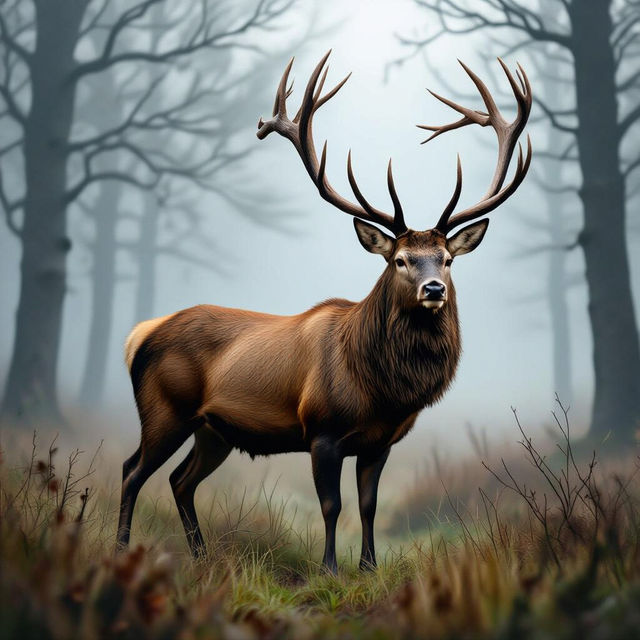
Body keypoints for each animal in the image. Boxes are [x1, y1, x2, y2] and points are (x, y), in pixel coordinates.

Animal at [116, 51, 531, 573]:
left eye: (447, 259)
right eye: (400, 260)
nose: (434, 288)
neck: (383, 389)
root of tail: (140, 334)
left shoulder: (379, 442)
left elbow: (369, 505)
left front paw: (369, 567)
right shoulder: (322, 429)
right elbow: (331, 505)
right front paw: (329, 567)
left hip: (214, 431)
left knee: (180, 480)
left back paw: (202, 557)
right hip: (164, 409)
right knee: (133, 470)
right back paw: (121, 550)